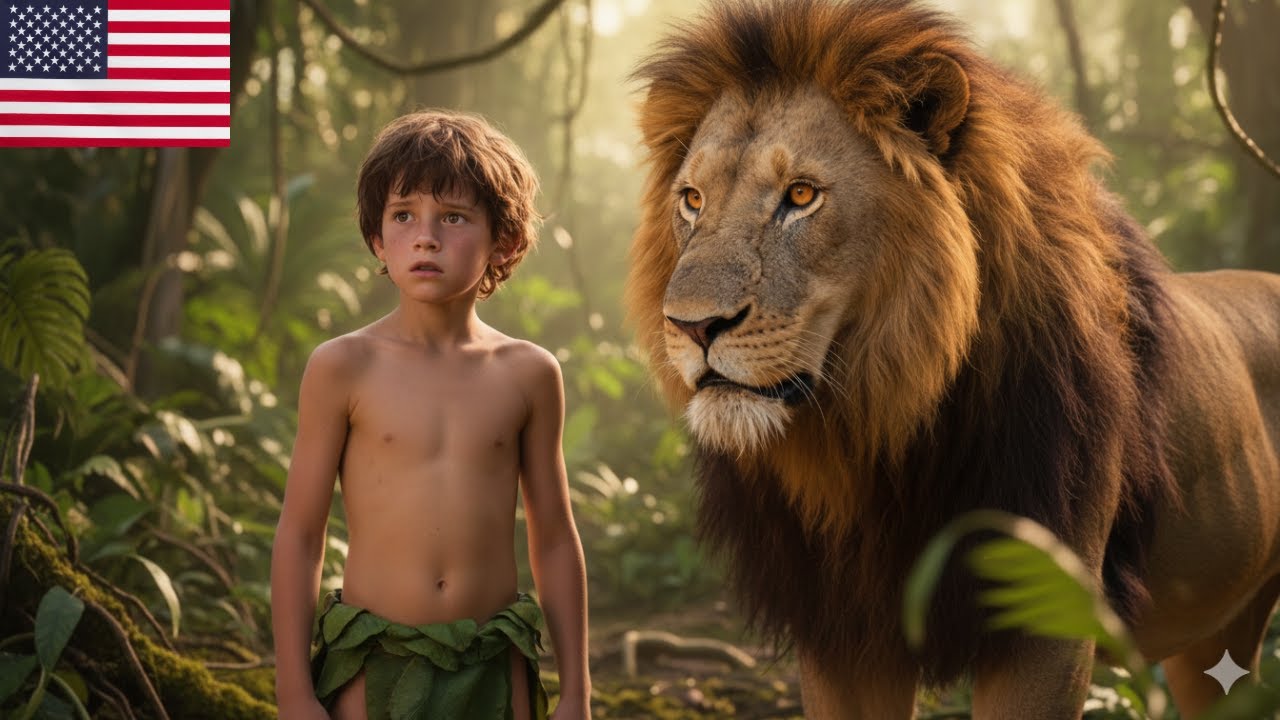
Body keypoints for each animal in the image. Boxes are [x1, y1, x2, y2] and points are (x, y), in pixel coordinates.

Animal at [624, 1, 1280, 717]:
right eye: (692, 200)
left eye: (800, 196)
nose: (691, 325)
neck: (877, 431)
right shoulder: (837, 629)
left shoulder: (1046, 622)